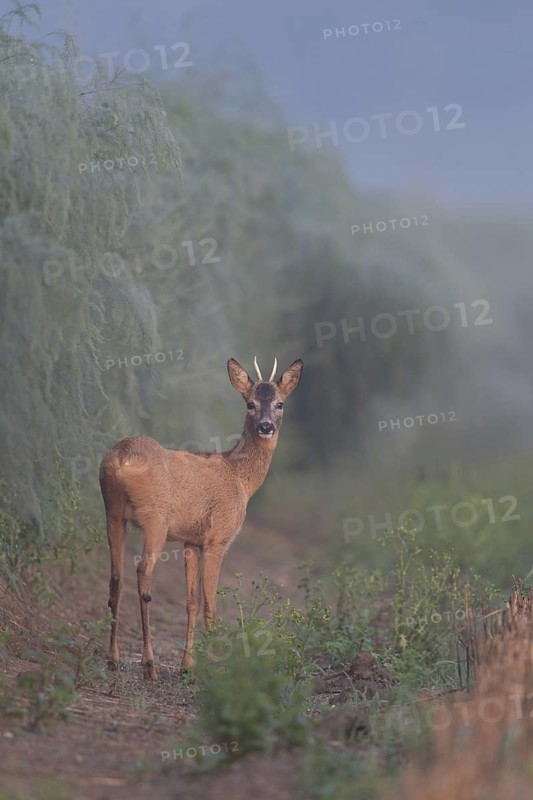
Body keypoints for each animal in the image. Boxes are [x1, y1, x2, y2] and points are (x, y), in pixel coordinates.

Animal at [99, 356, 303, 680]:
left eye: (280, 403)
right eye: (250, 403)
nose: (266, 426)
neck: (240, 479)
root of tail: (120, 459)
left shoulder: (190, 541)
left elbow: (191, 601)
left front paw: (187, 665)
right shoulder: (218, 537)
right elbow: (210, 602)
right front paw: (215, 665)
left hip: (112, 512)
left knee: (115, 578)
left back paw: (113, 659)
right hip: (155, 519)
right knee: (142, 572)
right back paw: (149, 665)